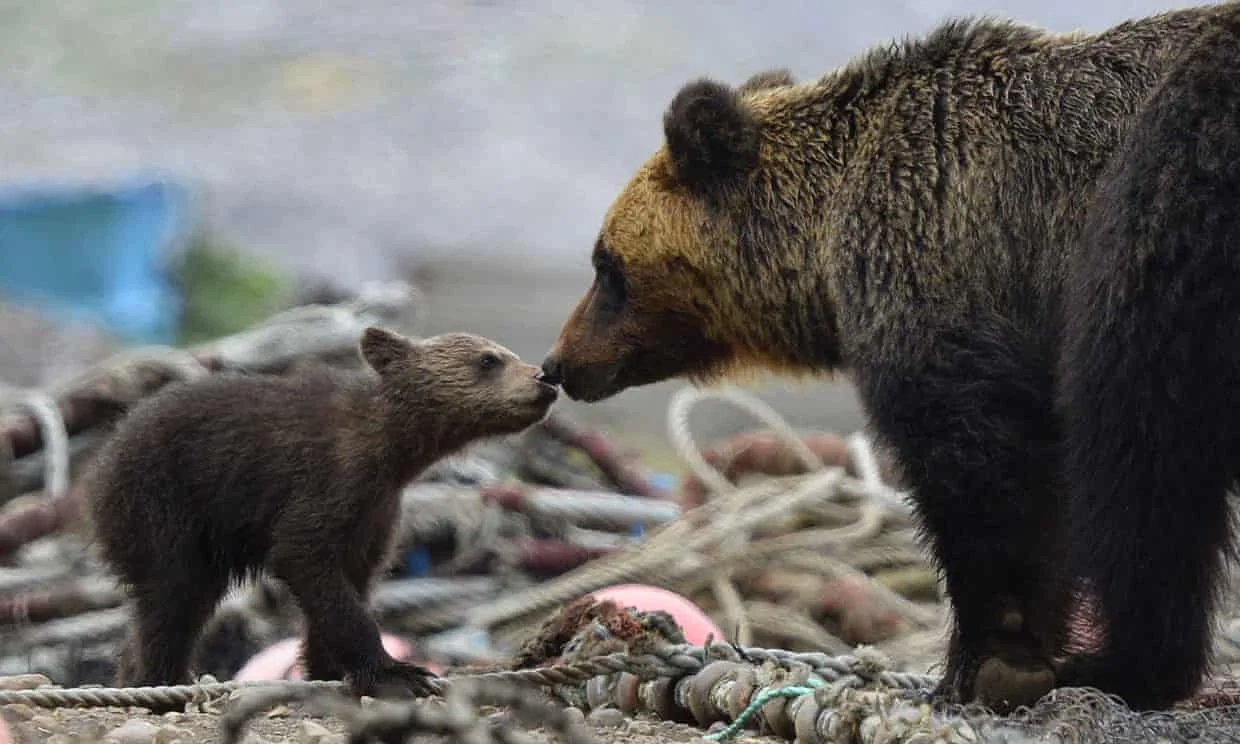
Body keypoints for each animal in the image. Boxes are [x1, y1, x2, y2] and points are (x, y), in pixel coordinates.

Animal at [83, 327, 558, 707]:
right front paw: (399, 672)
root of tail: (102, 460)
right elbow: (309, 563)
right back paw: (163, 682)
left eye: (507, 352)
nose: (545, 380)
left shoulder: (374, 514)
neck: (392, 455)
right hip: (164, 507)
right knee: (174, 596)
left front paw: (328, 671)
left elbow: (349, 579)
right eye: (488, 360)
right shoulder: (325, 483)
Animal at [539, 2, 1240, 712]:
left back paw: (1122, 664)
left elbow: (988, 468)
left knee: (1139, 438)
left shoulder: (945, 259)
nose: (558, 362)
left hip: (1166, 201)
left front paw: (985, 663)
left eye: (606, 265)